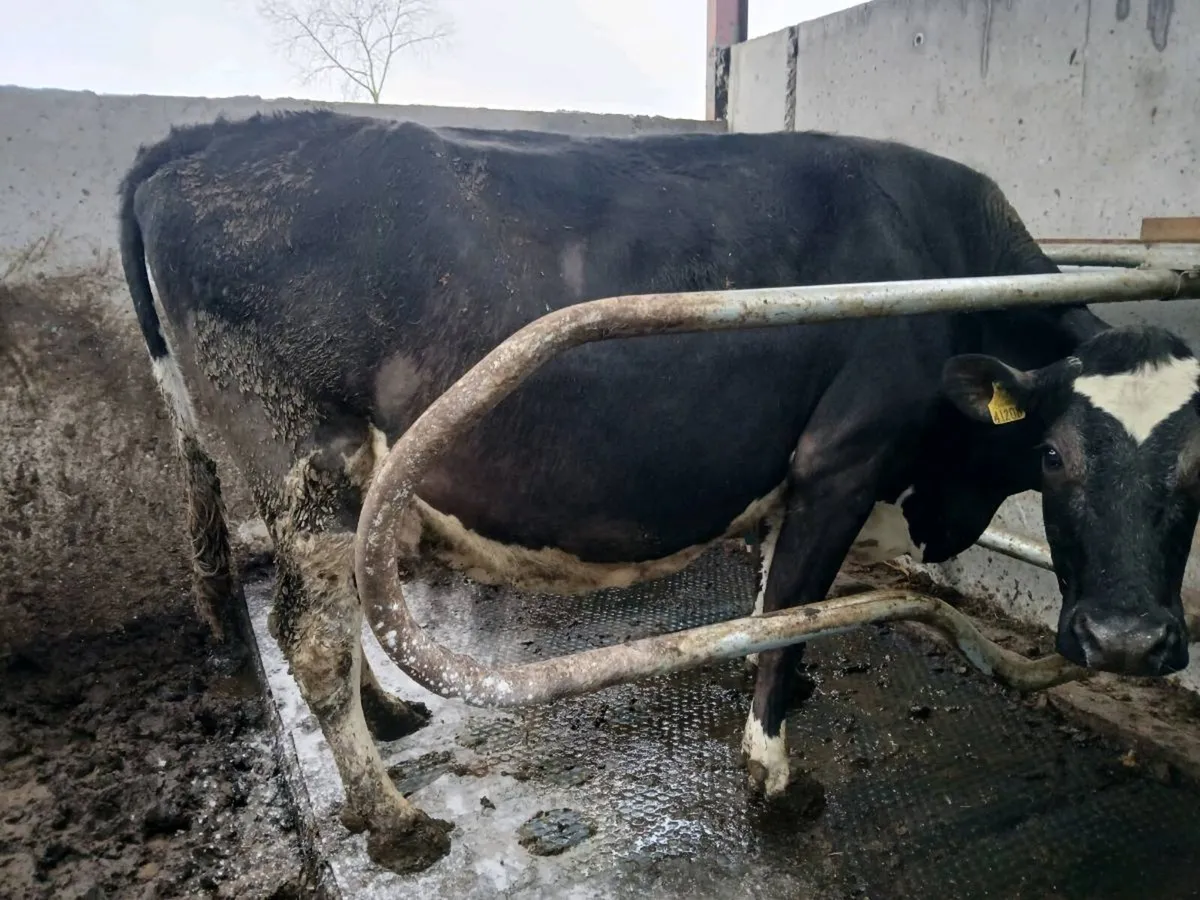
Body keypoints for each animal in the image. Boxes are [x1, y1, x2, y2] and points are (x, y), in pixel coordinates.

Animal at [117, 110, 1197, 874]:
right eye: (1054, 455)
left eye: (1198, 465)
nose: (1128, 642)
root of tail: (199, 140)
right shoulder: (842, 459)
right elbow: (793, 610)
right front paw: (774, 776)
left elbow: (772, 605)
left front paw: (788, 695)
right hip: (305, 453)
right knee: (310, 632)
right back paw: (393, 819)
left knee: (335, 615)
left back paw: (387, 718)